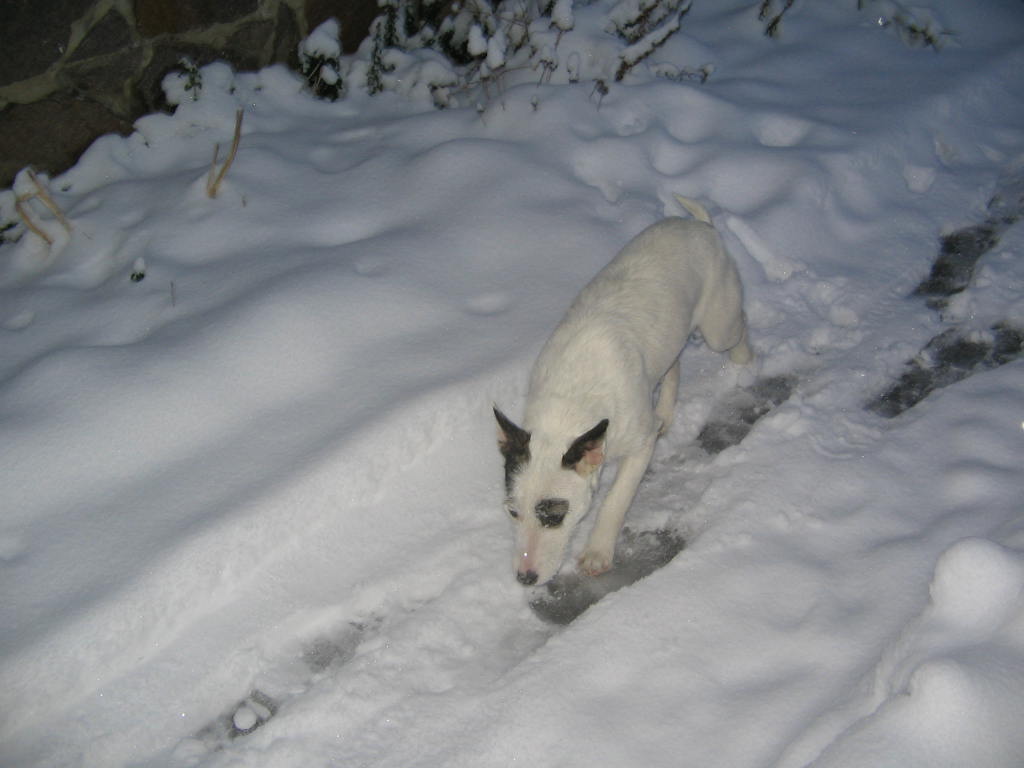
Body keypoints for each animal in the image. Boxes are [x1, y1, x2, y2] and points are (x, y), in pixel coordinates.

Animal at [495, 198, 753, 589]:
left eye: (555, 515)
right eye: (512, 511)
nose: (525, 578)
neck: (568, 406)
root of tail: (700, 226)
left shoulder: (640, 444)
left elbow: (615, 500)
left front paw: (598, 551)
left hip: (717, 325)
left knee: (737, 328)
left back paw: (746, 362)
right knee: (673, 363)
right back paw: (665, 410)